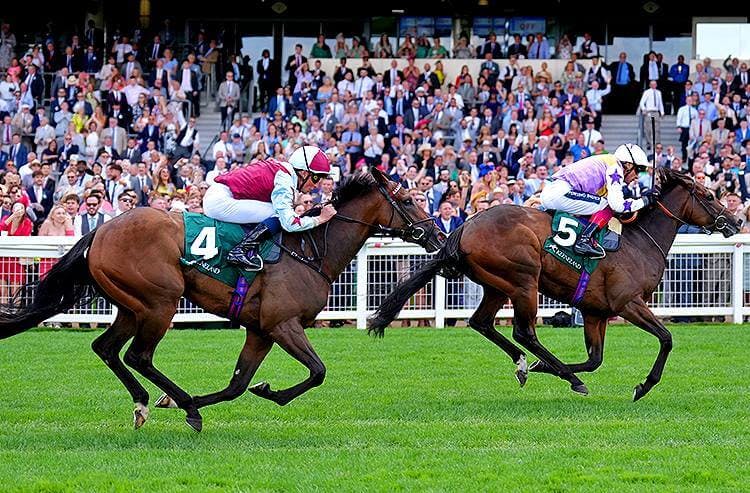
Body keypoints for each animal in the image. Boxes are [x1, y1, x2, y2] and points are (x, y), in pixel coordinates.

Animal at [0, 167, 444, 428]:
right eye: (408, 200)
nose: (439, 235)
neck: (311, 250)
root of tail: (100, 231)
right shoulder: (284, 325)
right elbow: (318, 371)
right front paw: (263, 393)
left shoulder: (260, 331)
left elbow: (237, 384)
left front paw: (250, 391)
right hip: (160, 301)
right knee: (138, 356)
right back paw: (183, 405)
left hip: (131, 304)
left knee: (107, 348)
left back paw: (146, 403)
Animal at [368, 166, 740, 400]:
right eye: (709, 196)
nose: (735, 221)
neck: (638, 243)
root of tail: (463, 227)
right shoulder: (628, 303)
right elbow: (666, 338)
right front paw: (643, 386)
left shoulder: (594, 312)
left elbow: (595, 359)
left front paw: (544, 367)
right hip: (523, 280)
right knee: (524, 332)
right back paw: (566, 377)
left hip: (497, 284)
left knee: (481, 323)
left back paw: (527, 365)